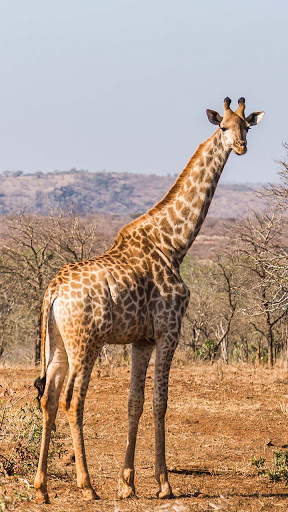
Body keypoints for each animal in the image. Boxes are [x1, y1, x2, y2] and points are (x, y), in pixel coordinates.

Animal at [33, 98, 264, 502]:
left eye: (246, 126)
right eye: (223, 127)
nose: (240, 146)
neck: (175, 244)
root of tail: (53, 291)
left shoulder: (140, 340)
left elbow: (134, 402)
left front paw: (127, 483)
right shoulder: (169, 330)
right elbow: (160, 402)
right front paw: (164, 484)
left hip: (57, 344)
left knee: (48, 398)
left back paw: (42, 487)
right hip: (86, 343)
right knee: (72, 401)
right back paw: (87, 485)